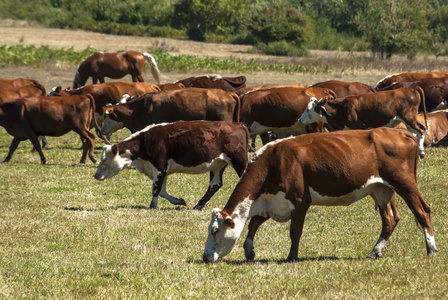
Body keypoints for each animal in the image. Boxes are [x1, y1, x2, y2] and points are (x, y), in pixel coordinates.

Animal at [95, 120, 250, 210]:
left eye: (104, 160)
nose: (96, 175)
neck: (144, 143)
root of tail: (238, 125)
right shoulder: (163, 171)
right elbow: (162, 191)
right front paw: (179, 201)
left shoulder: (159, 167)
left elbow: (156, 189)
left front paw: (152, 206)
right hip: (218, 164)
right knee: (215, 185)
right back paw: (198, 205)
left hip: (238, 160)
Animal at [203, 127, 438, 262]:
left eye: (215, 230)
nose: (205, 257)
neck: (274, 161)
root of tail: (400, 132)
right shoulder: (273, 202)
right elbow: (253, 224)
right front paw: (249, 251)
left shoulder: (300, 201)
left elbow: (295, 231)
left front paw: (292, 256)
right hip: (381, 189)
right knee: (390, 219)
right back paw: (375, 251)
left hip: (405, 183)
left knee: (422, 211)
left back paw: (431, 249)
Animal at [300, 87, 428, 159]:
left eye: (308, 109)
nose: (300, 120)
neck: (341, 109)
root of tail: (411, 89)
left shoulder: (359, 127)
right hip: (406, 120)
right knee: (415, 132)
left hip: (409, 117)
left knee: (421, 130)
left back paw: (421, 152)